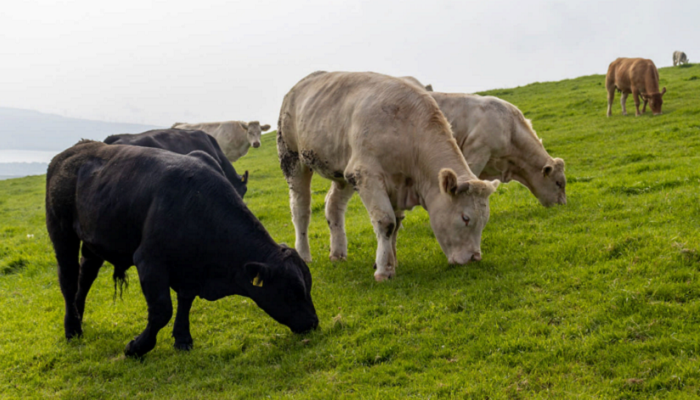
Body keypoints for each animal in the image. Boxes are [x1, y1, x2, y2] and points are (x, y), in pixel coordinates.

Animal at [45, 140, 318, 357]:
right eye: (294, 290)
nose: (314, 322)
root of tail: (73, 150)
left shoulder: (189, 269)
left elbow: (185, 301)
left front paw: (183, 339)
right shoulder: (149, 261)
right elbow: (161, 310)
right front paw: (137, 347)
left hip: (93, 243)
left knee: (84, 278)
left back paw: (79, 319)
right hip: (61, 232)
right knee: (68, 280)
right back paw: (71, 328)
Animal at [278, 71, 500, 282]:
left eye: (485, 220)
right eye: (465, 218)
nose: (474, 257)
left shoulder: (395, 183)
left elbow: (396, 224)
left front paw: (391, 263)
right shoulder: (367, 174)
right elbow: (386, 222)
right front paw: (383, 271)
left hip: (344, 169)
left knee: (333, 205)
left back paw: (338, 253)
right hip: (292, 158)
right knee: (300, 209)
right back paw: (304, 254)